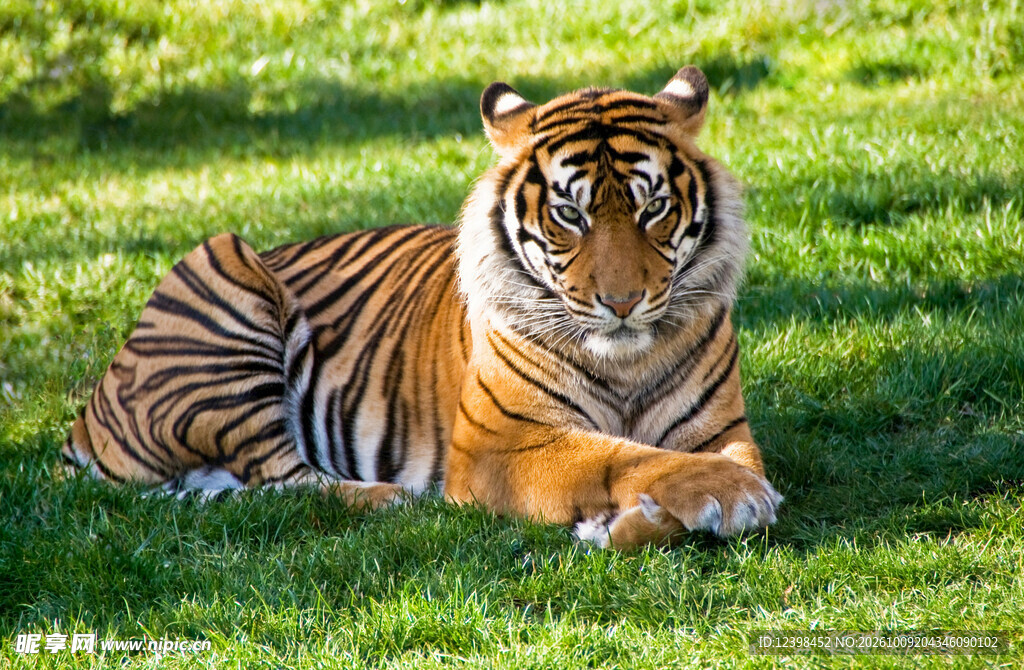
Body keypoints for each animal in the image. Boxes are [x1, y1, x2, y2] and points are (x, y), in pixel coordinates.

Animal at [62, 66, 782, 549]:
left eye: (652, 207)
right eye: (569, 215)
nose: (623, 302)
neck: (625, 361)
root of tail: (85, 419)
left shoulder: (721, 427)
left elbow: (706, 460)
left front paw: (641, 520)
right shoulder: (500, 444)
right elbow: (620, 455)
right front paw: (729, 496)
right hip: (222, 264)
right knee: (282, 478)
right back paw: (392, 499)